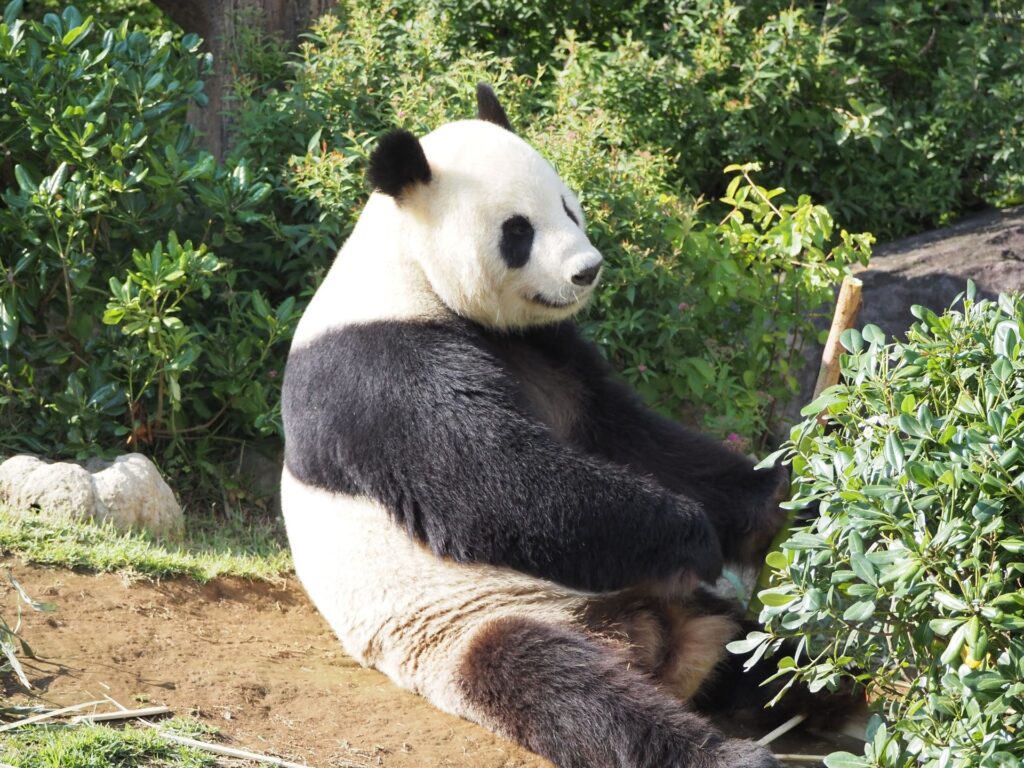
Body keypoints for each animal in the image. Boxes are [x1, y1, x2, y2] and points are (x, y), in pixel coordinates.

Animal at [284, 85, 794, 768]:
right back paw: (727, 753)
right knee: (564, 687)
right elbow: (488, 483)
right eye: (517, 231)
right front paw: (694, 537)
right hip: (468, 622)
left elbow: (627, 436)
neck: (409, 271)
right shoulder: (374, 370)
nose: (587, 269)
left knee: (765, 657)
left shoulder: (545, 348)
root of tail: (652, 643)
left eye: (569, 208)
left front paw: (771, 500)